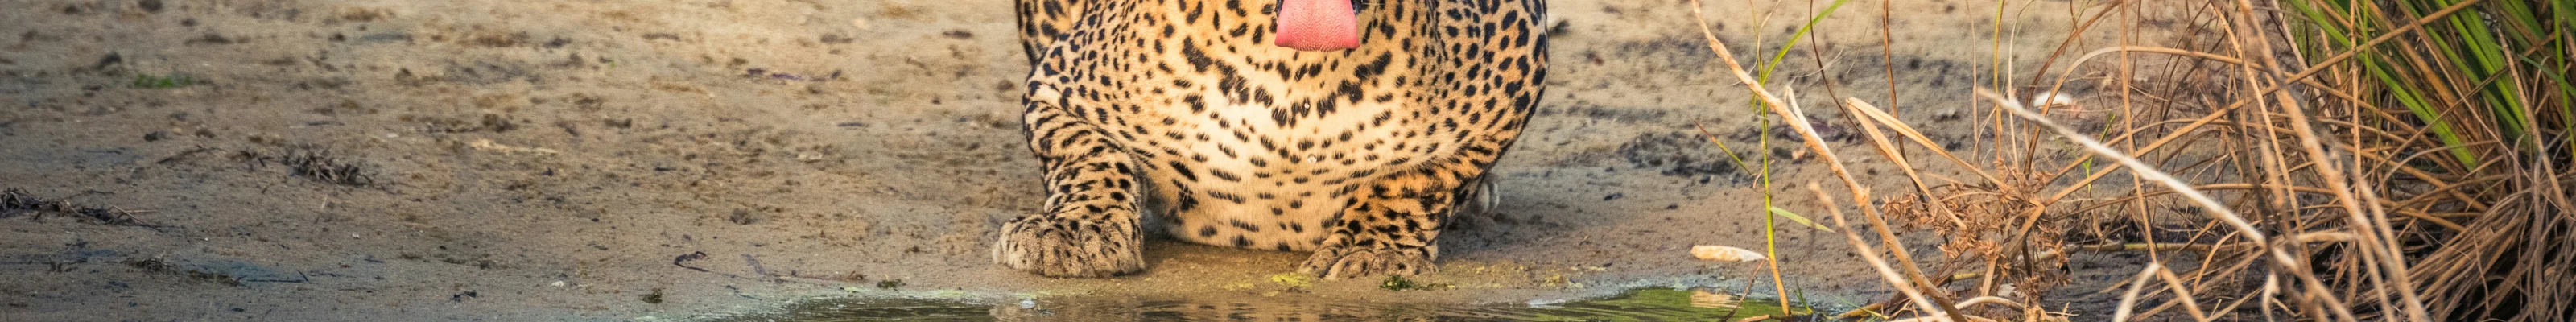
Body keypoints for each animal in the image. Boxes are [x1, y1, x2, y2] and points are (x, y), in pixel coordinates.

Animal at [992, 0, 1548, 279]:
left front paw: (1372, 253)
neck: (1295, 72)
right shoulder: (1055, 87)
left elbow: (1420, 180)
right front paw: (1074, 233)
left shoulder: (1517, 62)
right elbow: (1091, 155)